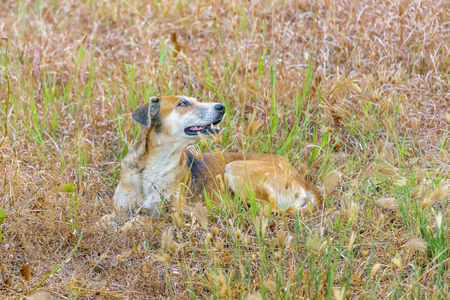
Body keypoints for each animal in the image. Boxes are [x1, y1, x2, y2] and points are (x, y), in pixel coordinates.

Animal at [110, 95, 318, 219]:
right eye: (183, 103)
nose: (221, 107)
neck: (153, 165)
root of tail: (300, 177)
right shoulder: (120, 209)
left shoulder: (167, 214)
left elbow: (135, 221)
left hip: (235, 168)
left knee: (269, 208)